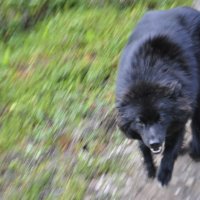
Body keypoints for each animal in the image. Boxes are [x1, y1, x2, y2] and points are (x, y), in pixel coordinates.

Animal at [115, 7, 200, 186]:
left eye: (161, 119)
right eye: (140, 122)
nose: (154, 143)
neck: (147, 74)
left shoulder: (180, 115)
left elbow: (170, 149)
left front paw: (164, 173)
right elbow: (142, 146)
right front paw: (150, 168)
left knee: (196, 123)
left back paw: (194, 150)